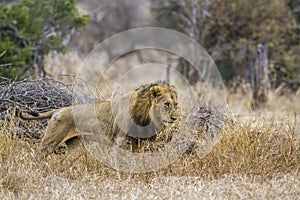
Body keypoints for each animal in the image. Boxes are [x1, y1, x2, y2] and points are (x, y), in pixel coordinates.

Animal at [17, 82, 182, 156]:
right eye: (166, 104)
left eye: (176, 104)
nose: (175, 118)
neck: (146, 116)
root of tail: (58, 110)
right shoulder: (120, 140)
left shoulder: (138, 143)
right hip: (49, 143)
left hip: (74, 146)